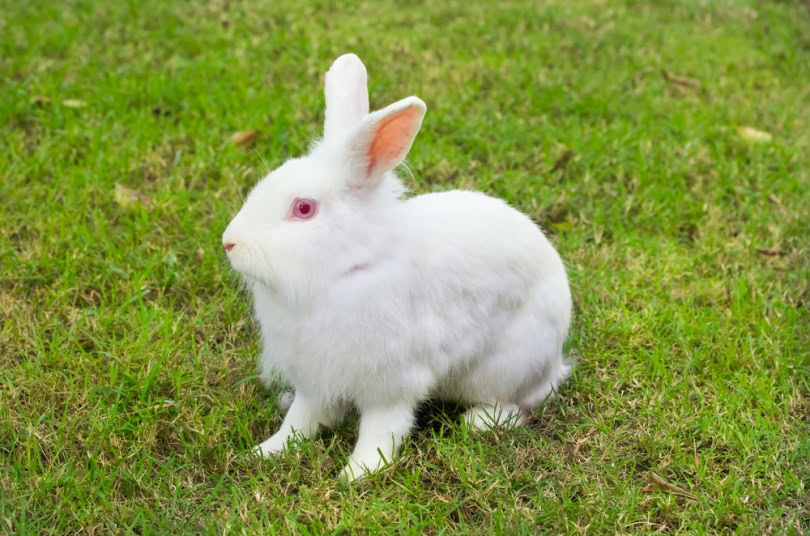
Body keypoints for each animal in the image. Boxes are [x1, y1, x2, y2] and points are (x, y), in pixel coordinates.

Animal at [222, 53, 572, 481]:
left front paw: (358, 473)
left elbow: (382, 428)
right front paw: (266, 452)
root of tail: (555, 362)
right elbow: (301, 420)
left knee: (517, 403)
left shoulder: (390, 381)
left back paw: (477, 422)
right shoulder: (315, 380)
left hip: (506, 366)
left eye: (303, 208)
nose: (230, 242)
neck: (348, 270)